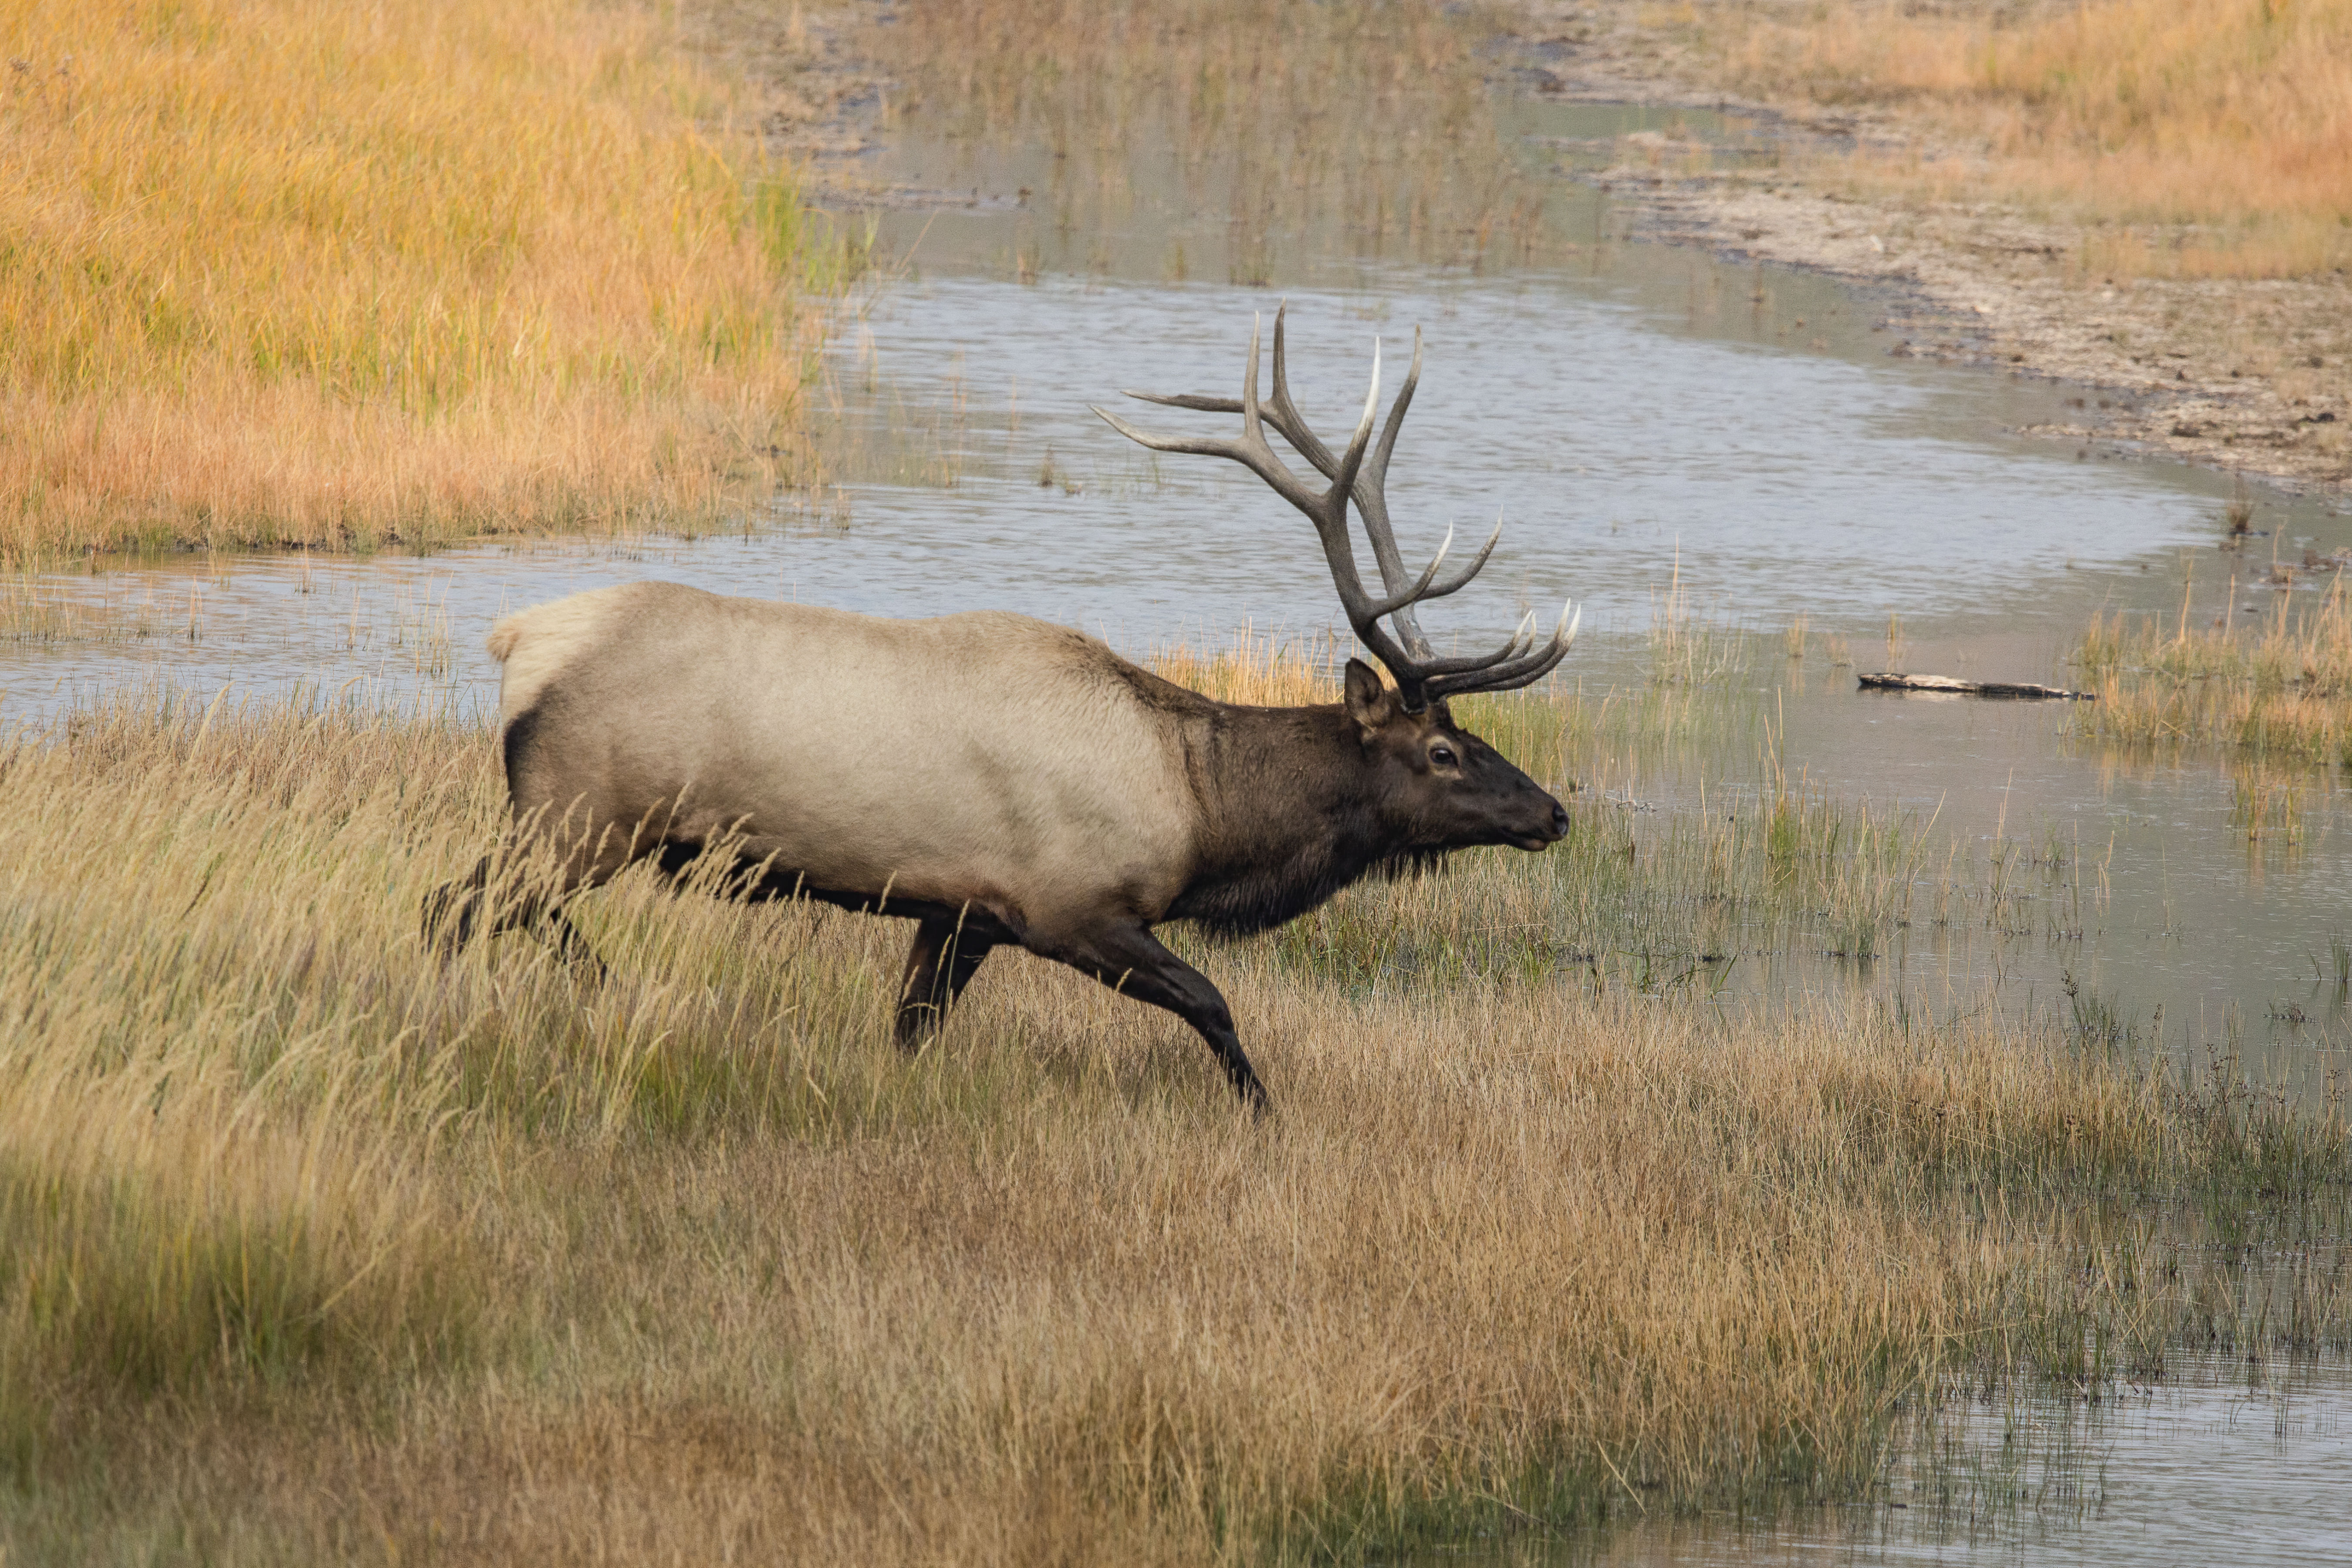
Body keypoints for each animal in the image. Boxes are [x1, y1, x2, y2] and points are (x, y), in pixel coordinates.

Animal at [433, 305, 1590, 1109]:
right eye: (1442, 751)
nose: (1552, 812)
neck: (1199, 806)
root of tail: (519, 642)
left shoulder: (959, 910)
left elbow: (909, 1030)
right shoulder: (1070, 905)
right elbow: (1213, 1003)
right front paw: (1264, 1113)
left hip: (576, 825)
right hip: (580, 814)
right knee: (458, 903)